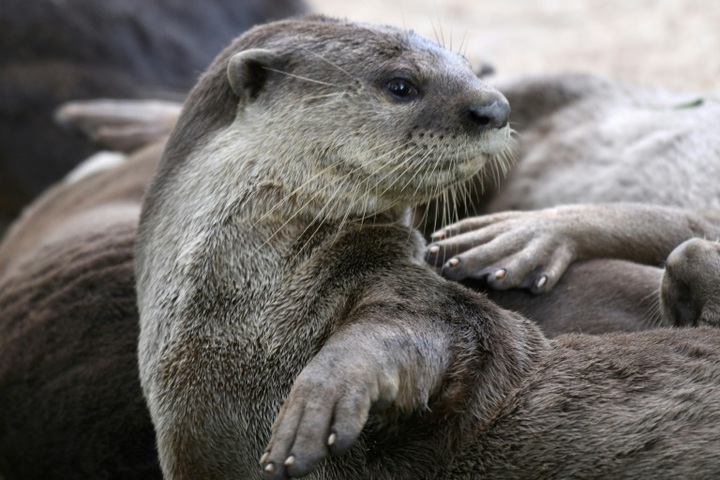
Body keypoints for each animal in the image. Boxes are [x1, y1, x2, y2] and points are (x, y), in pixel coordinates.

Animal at [135, 16, 720, 480]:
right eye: (401, 85)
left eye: (466, 65)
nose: (495, 105)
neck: (245, 317)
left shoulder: (425, 302)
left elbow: (431, 330)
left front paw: (321, 395)